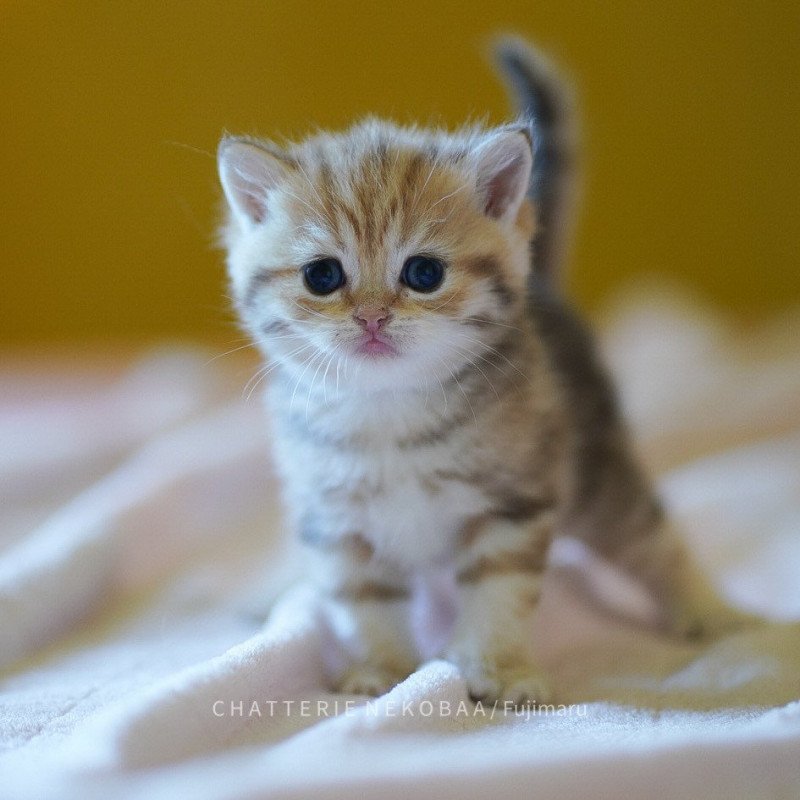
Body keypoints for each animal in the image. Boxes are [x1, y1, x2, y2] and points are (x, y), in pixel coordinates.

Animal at [214, 39, 752, 708]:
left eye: (423, 274)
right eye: (322, 276)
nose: (372, 317)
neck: (391, 414)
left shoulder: (513, 503)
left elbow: (499, 592)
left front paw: (498, 670)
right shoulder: (337, 522)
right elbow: (363, 600)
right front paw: (379, 669)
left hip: (596, 473)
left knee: (652, 538)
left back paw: (711, 612)